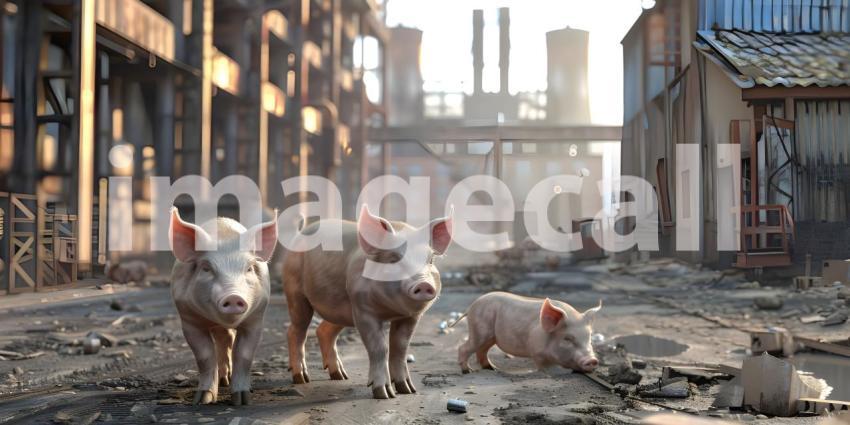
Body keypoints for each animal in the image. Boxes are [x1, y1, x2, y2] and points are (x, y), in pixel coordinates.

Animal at [169, 208, 278, 406]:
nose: (234, 297)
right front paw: (203, 400)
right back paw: (222, 380)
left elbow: (244, 355)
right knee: (224, 339)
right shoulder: (188, 319)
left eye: (249, 268)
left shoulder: (256, 319)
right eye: (206, 268)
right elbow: (204, 356)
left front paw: (242, 400)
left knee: (227, 340)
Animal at [282, 205, 452, 399]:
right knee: (296, 330)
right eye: (393, 259)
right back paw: (301, 379)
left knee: (324, 330)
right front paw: (384, 394)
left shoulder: (411, 316)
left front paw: (408, 390)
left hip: (340, 311)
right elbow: (380, 348)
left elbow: (400, 347)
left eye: (430, 259)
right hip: (294, 290)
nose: (424, 284)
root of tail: (300, 233)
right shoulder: (362, 309)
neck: (390, 310)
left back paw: (340, 376)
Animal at [456, 292, 601, 374]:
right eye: (567, 338)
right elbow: (543, 365)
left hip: (490, 336)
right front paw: (551, 372)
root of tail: (472, 306)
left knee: (482, 350)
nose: (592, 360)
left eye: (589, 338)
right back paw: (468, 371)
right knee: (464, 347)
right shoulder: (536, 350)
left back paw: (493, 369)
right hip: (479, 329)